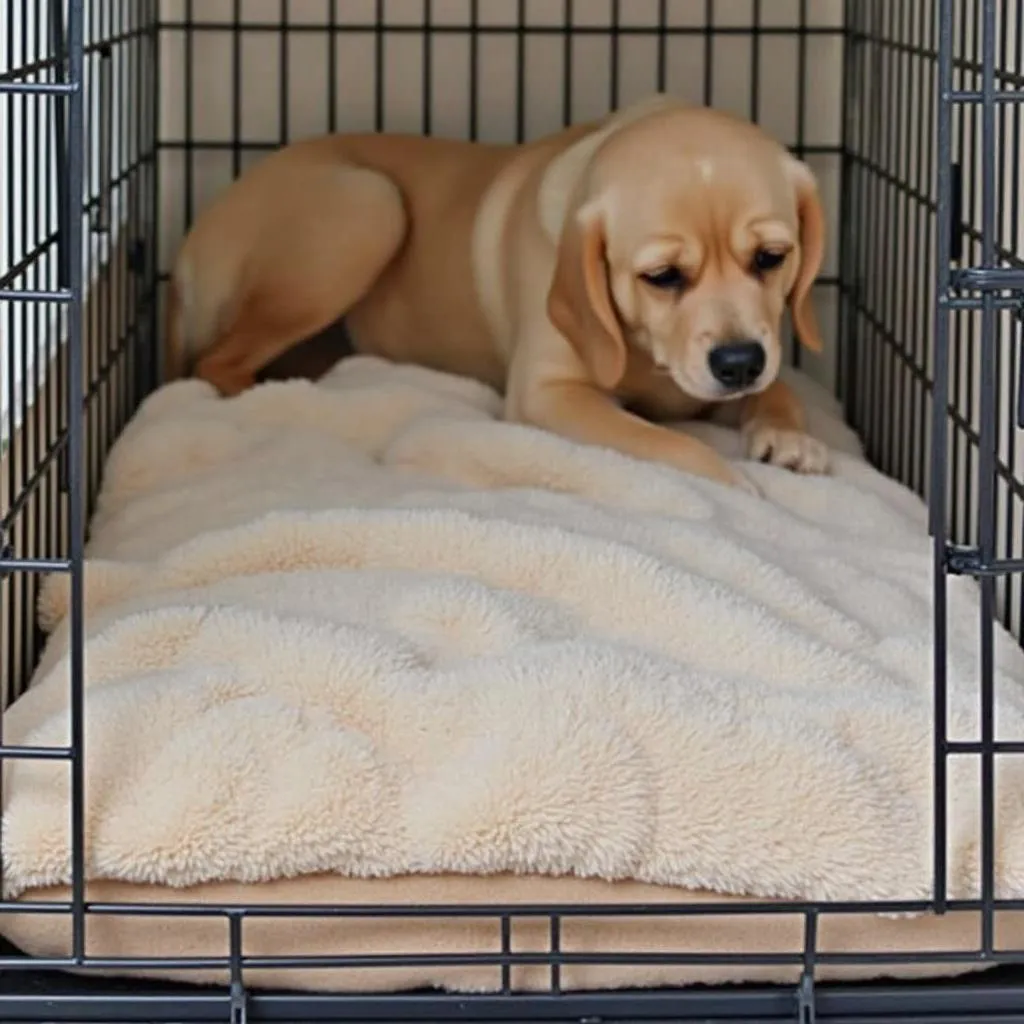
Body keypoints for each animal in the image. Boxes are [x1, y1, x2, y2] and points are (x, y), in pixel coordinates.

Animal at [167, 96, 831, 491]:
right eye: (663, 276)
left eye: (771, 257)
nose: (739, 363)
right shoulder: (547, 394)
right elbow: (668, 444)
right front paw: (737, 485)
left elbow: (779, 390)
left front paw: (789, 435)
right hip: (369, 205)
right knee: (215, 363)